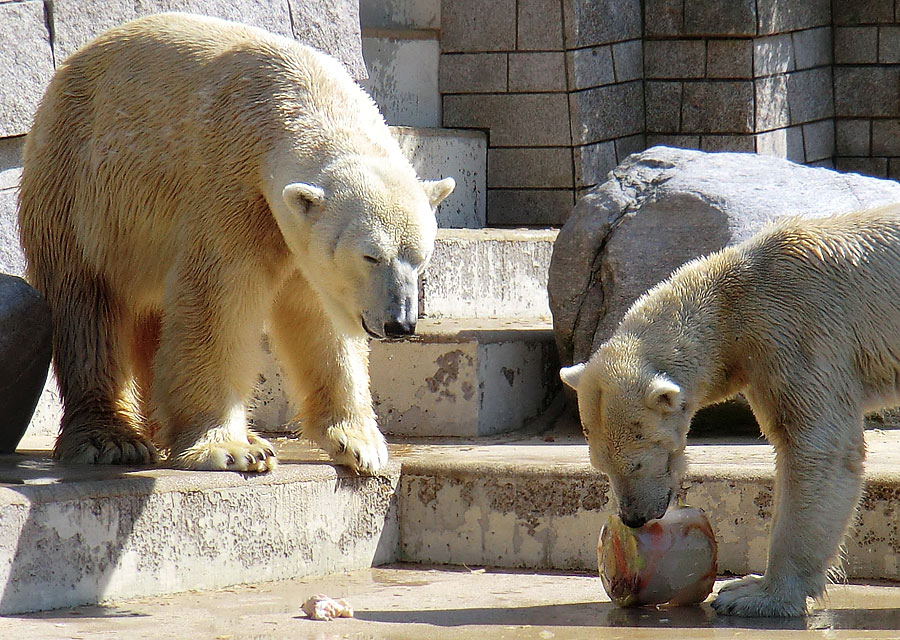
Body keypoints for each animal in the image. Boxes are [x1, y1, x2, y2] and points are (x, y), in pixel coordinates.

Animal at [19, 13, 458, 476]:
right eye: (370, 256)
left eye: (420, 258)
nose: (400, 324)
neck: (297, 97)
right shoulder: (232, 185)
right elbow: (219, 300)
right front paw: (231, 449)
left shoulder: (294, 235)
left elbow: (319, 317)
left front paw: (361, 444)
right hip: (79, 189)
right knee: (87, 306)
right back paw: (113, 439)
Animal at [560, 208, 900, 616]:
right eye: (601, 465)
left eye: (637, 463)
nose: (633, 518)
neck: (738, 299)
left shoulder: (799, 329)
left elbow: (818, 443)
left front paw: (755, 594)